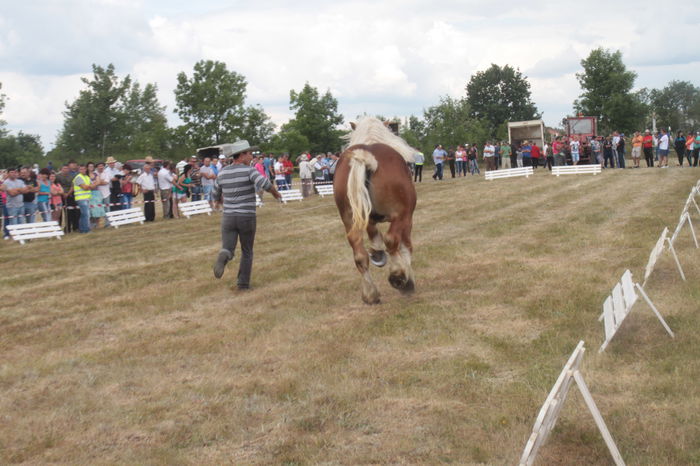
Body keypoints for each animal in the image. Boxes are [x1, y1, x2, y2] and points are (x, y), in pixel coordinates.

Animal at [332, 118, 416, 304]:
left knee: (359, 253)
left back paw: (370, 293)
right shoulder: (406, 217)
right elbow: (405, 246)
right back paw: (398, 277)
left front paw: (377, 253)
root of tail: (366, 158)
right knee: (391, 240)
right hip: (400, 215)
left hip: (349, 218)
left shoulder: (366, 216)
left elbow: (373, 234)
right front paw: (407, 279)